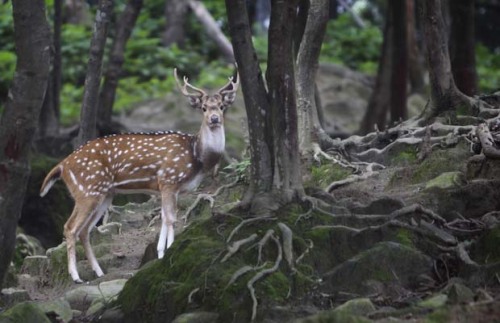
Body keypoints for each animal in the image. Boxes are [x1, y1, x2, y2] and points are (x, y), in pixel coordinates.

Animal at [40, 68, 239, 284]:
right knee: (70, 227)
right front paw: (169, 252)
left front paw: (160, 253)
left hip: (105, 195)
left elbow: (164, 217)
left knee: (85, 230)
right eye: (203, 108)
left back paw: (99, 272)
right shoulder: (169, 179)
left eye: (221, 107)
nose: (214, 118)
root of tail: (62, 165)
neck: (197, 157)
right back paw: (76, 277)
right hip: (87, 190)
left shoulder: (169, 188)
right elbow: (171, 218)